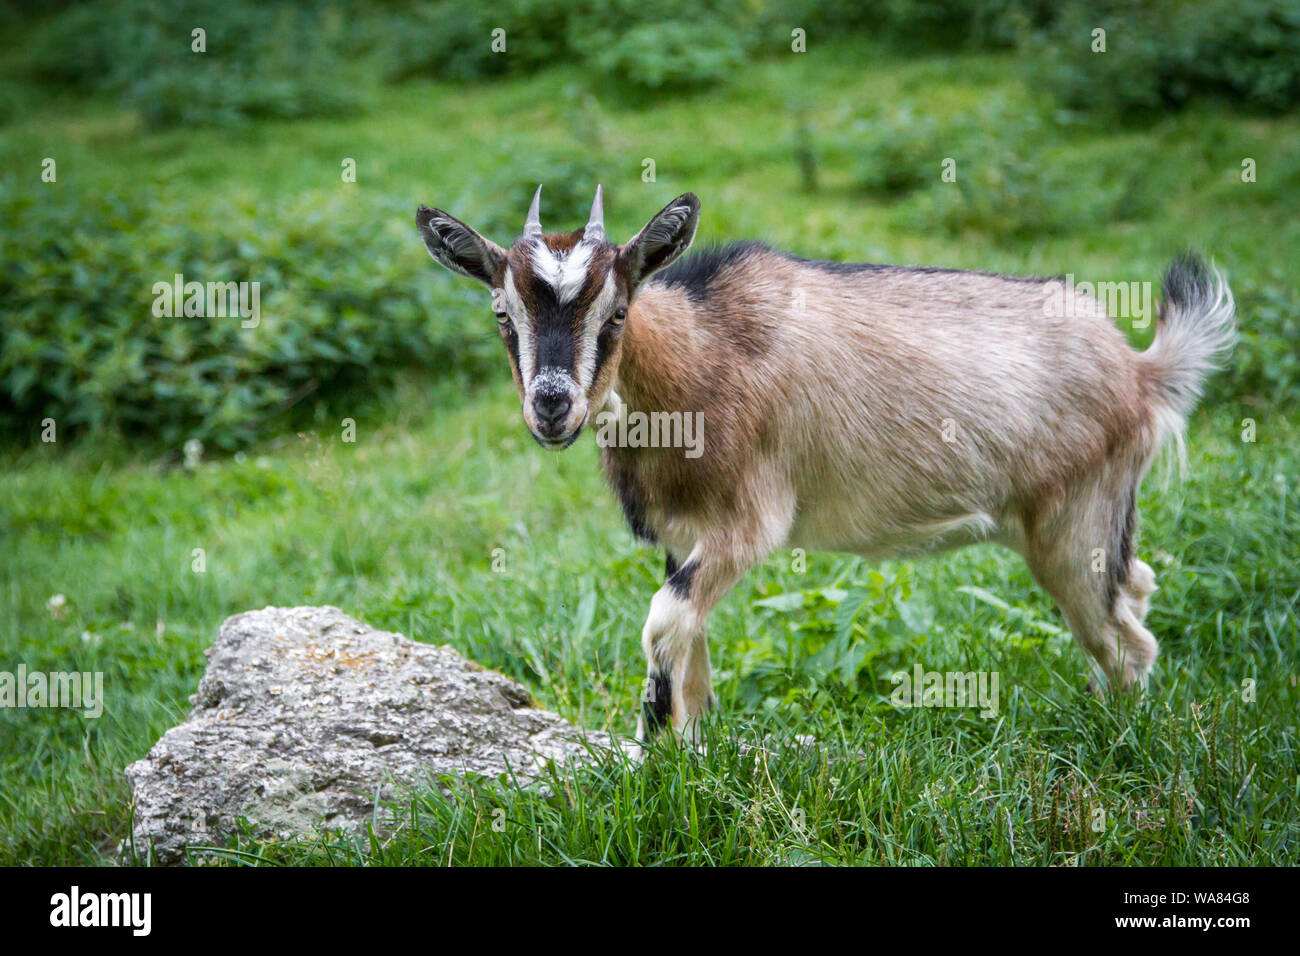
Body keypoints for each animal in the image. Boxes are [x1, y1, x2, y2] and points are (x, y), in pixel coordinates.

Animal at [415, 186, 1235, 745]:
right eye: (503, 317)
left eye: (616, 314)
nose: (552, 408)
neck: (703, 353)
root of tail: (1141, 370)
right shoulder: (686, 539)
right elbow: (689, 647)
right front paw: (685, 756)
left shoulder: (750, 521)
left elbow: (662, 624)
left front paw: (657, 755)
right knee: (1136, 590)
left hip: (1072, 522)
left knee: (1125, 638)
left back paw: (1118, 743)